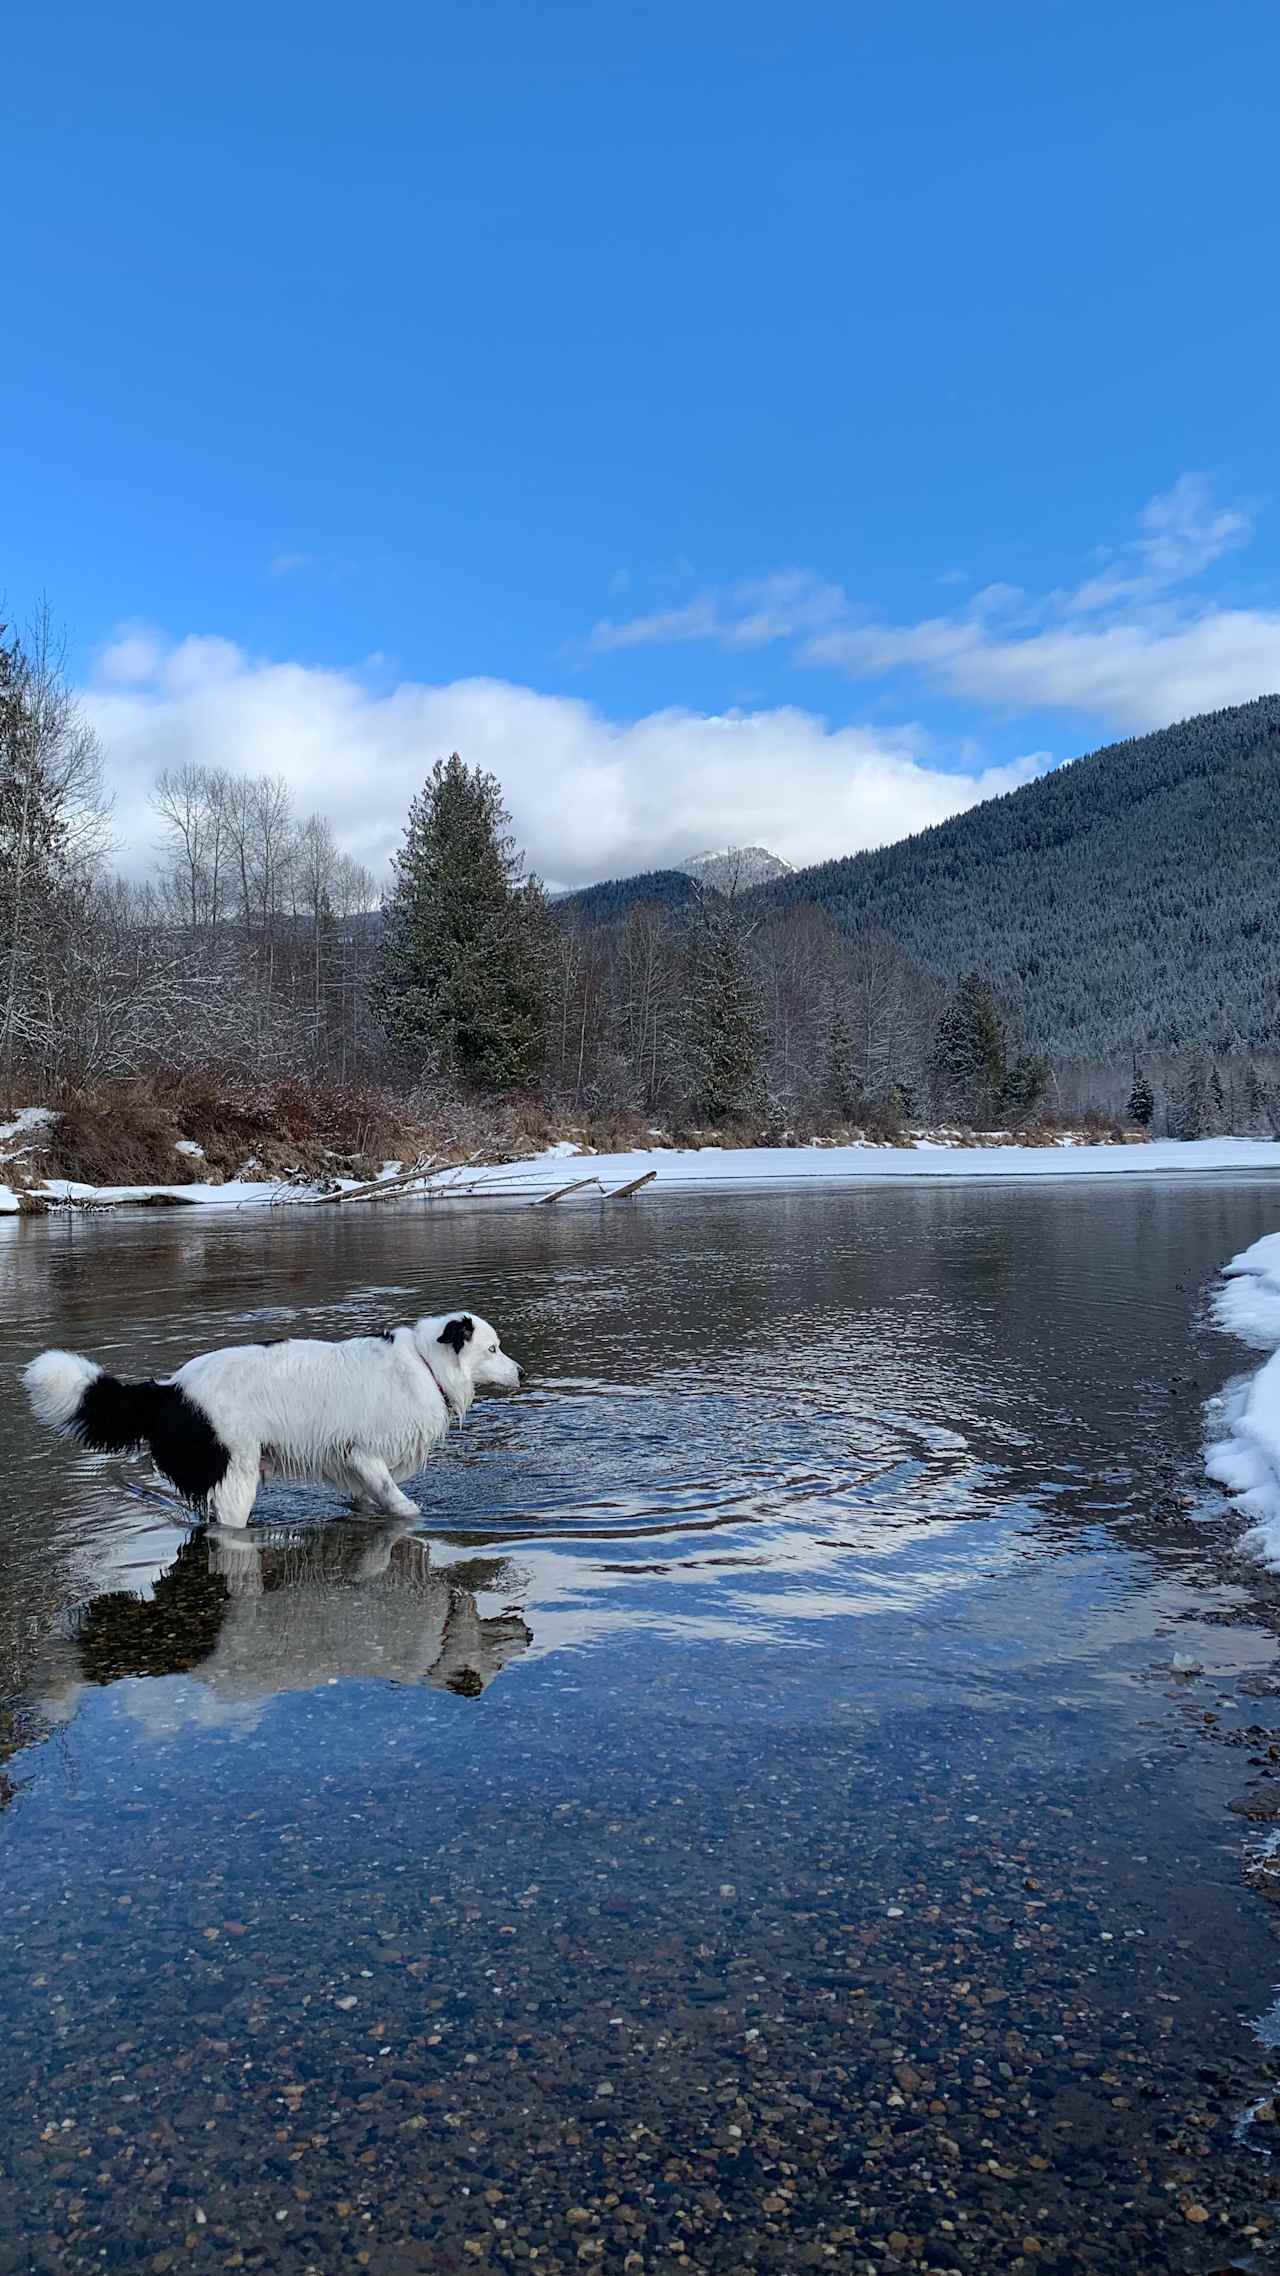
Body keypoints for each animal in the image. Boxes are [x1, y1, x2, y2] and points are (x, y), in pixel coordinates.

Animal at [22, 1320, 519, 1529]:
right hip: (236, 1476)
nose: (521, 1372)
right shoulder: (364, 1454)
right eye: (493, 1349)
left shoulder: (356, 1470)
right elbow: (401, 1503)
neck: (424, 1362)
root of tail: (171, 1388)